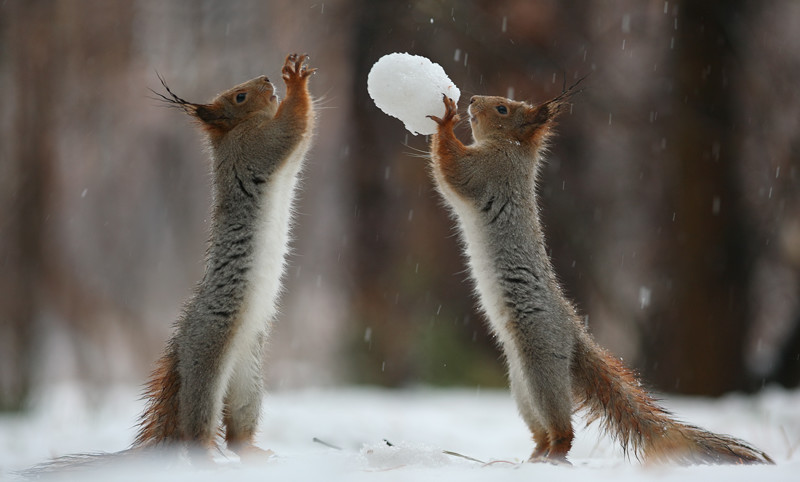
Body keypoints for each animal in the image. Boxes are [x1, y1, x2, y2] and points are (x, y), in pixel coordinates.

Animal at [23, 52, 316, 474]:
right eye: (240, 96)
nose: (265, 79)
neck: (232, 133)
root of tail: (183, 349)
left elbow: (302, 137)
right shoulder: (256, 148)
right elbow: (293, 128)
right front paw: (295, 83)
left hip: (248, 381)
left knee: (237, 431)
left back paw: (253, 453)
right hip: (207, 362)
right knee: (196, 430)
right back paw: (208, 459)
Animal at [428, 89, 772, 464]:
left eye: (503, 108)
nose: (473, 99)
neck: (514, 149)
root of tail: (575, 335)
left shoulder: (488, 171)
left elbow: (452, 169)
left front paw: (445, 120)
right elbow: (446, 181)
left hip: (541, 363)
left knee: (563, 429)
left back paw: (554, 454)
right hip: (521, 386)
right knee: (541, 429)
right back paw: (534, 458)